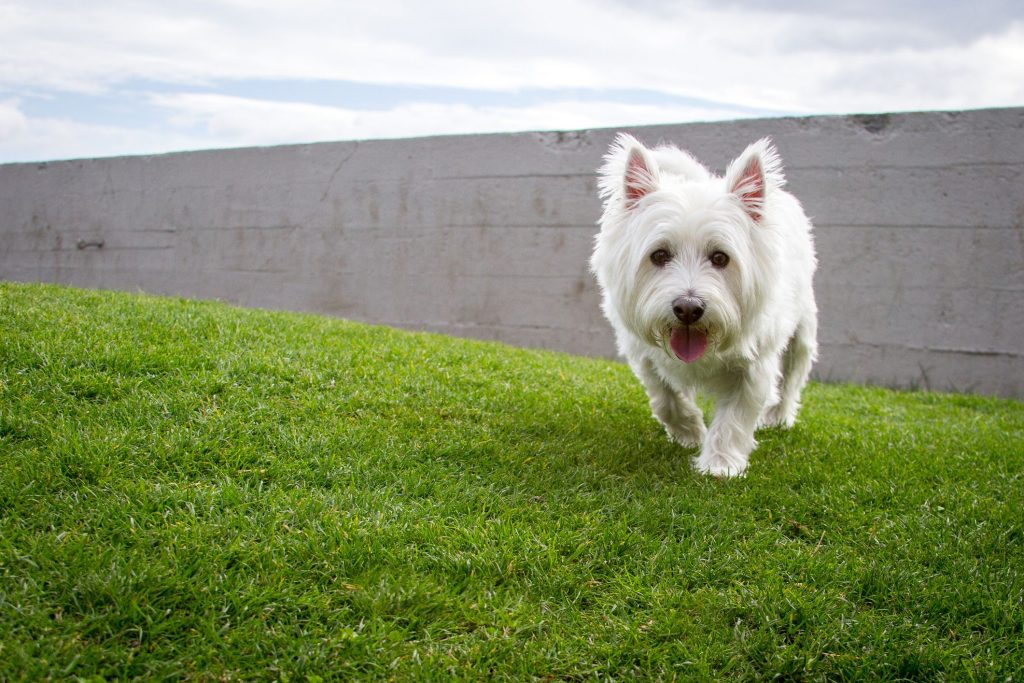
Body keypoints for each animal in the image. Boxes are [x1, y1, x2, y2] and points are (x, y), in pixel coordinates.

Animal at [593, 133, 815, 475]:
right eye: (659, 255)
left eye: (720, 258)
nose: (688, 308)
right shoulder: (642, 354)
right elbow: (665, 398)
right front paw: (689, 432)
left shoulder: (756, 365)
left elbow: (735, 416)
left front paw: (720, 464)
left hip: (802, 330)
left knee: (793, 374)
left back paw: (778, 416)